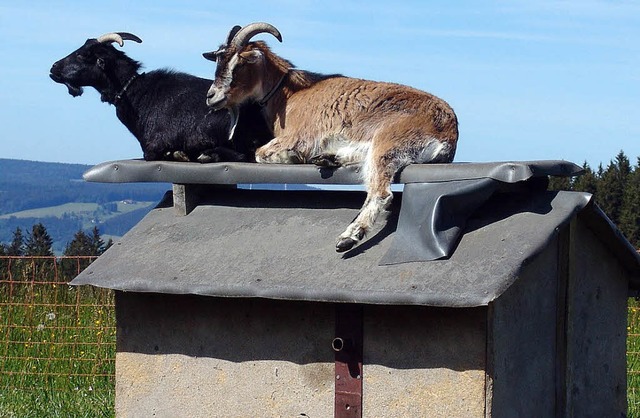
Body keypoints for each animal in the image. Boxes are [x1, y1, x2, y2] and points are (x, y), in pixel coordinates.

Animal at [49, 31, 270, 162]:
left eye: (83, 55)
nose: (53, 69)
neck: (136, 94)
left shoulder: (155, 146)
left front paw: (179, 153)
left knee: (241, 155)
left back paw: (206, 155)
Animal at [205, 22, 460, 253]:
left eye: (238, 64)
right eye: (218, 62)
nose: (211, 96)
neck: (289, 96)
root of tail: (449, 132)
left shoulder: (299, 136)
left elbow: (261, 153)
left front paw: (292, 156)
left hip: (389, 141)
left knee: (380, 193)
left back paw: (348, 238)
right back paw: (327, 159)